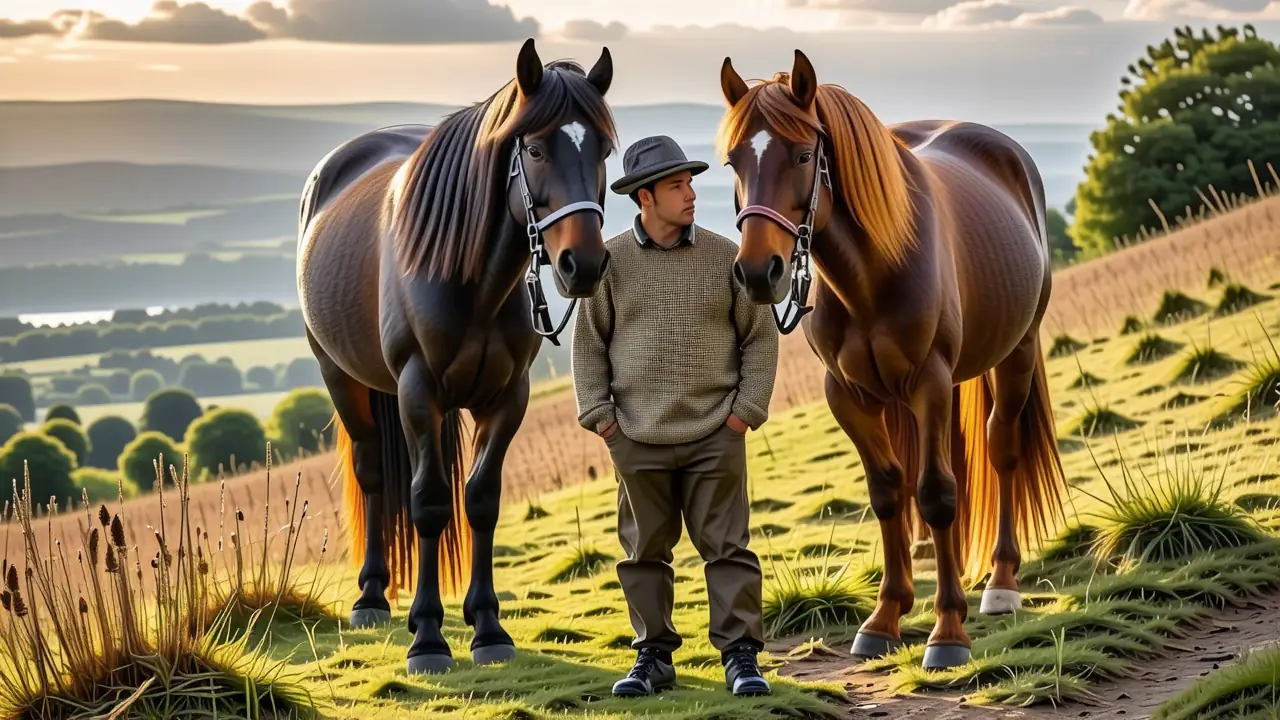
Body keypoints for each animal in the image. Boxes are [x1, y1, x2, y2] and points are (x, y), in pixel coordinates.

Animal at [296, 38, 617, 674]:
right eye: (535, 148)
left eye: (603, 149)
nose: (584, 264)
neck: (472, 280)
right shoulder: (420, 395)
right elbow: (427, 504)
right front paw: (427, 638)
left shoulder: (507, 397)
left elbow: (481, 500)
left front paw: (488, 627)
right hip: (339, 377)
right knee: (373, 472)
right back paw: (372, 598)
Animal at [715, 50, 1067, 670]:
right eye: (735, 160)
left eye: (803, 154)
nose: (759, 272)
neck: (873, 271)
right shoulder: (848, 395)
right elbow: (887, 493)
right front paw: (884, 619)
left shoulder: (930, 382)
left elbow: (937, 494)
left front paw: (947, 631)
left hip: (1016, 352)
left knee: (1001, 449)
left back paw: (1001, 584)